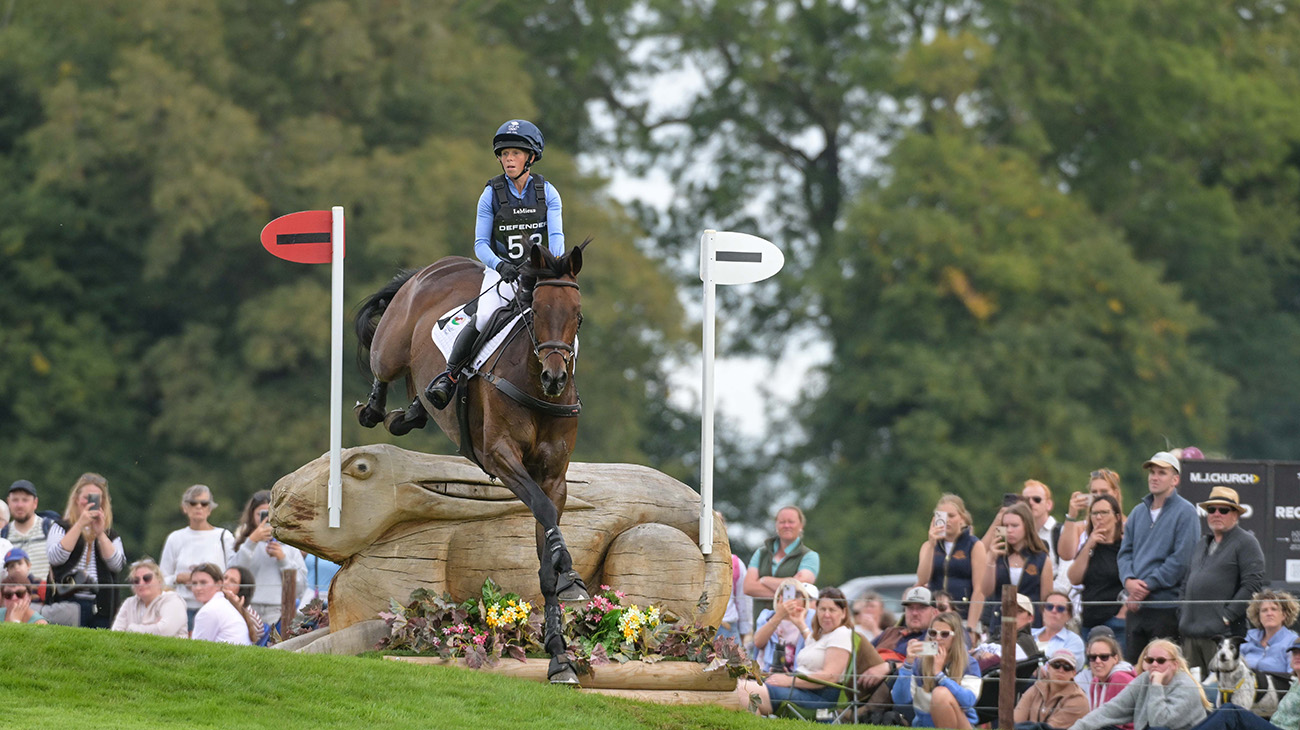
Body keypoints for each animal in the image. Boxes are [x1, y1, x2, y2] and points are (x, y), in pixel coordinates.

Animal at [352, 241, 591, 684]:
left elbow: (546, 549)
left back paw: (412, 411)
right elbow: (544, 510)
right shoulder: (500, 457)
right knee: (382, 366)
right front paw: (570, 573)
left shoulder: (554, 477)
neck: (537, 390)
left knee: (416, 395)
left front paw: (559, 654)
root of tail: (433, 267)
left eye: (577, 316)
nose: (555, 378)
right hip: (392, 345)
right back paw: (376, 409)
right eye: (537, 312)